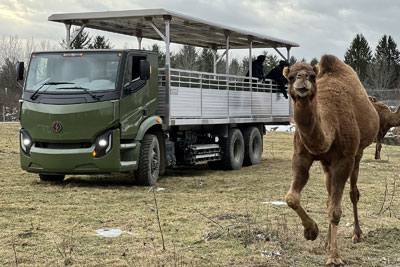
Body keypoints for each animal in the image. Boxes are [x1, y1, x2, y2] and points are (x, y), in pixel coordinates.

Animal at [282, 55, 380, 266]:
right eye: (291, 77)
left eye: (311, 76)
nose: (302, 80)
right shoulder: (302, 156)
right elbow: (291, 198)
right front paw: (311, 231)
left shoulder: (344, 159)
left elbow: (335, 210)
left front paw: (334, 257)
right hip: (327, 164)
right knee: (329, 197)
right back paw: (326, 241)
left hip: (357, 154)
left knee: (353, 193)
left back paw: (357, 234)